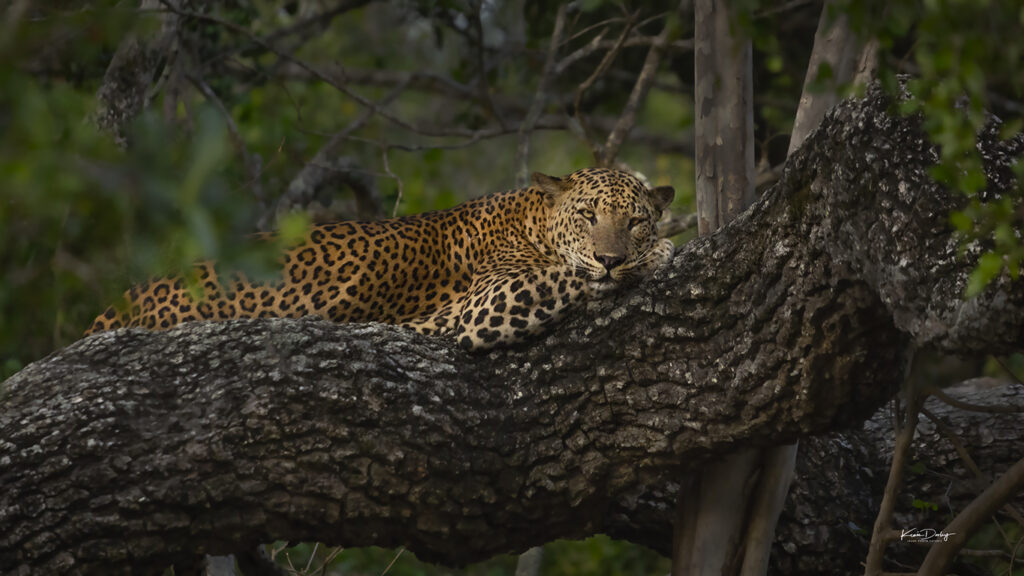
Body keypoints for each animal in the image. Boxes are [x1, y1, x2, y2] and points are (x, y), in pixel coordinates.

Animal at [83, 163, 675, 348]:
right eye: (588, 216)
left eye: (633, 220)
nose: (611, 259)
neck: (533, 221)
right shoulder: (476, 307)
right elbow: (564, 274)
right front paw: (660, 252)